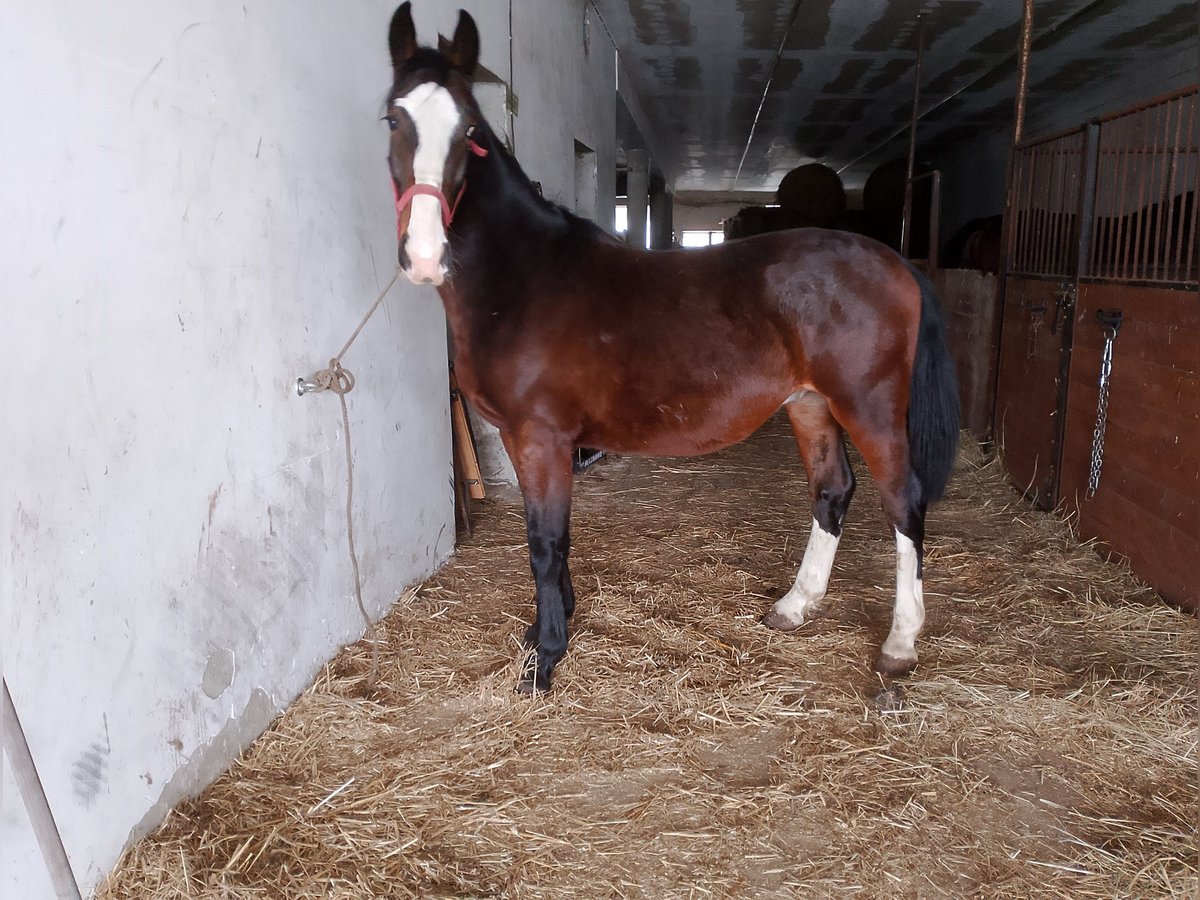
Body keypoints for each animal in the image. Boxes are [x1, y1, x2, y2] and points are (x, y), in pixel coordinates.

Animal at [381, 7, 955, 696]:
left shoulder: (541, 437)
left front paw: (545, 660)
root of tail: (896, 262)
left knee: (904, 501)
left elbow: (546, 543)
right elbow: (550, 539)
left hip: (869, 407)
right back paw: (795, 606)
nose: (424, 254)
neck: (524, 277)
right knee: (832, 488)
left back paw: (899, 644)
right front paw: (551, 628)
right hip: (810, 403)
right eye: (393, 118)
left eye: (468, 129)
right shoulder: (527, 441)